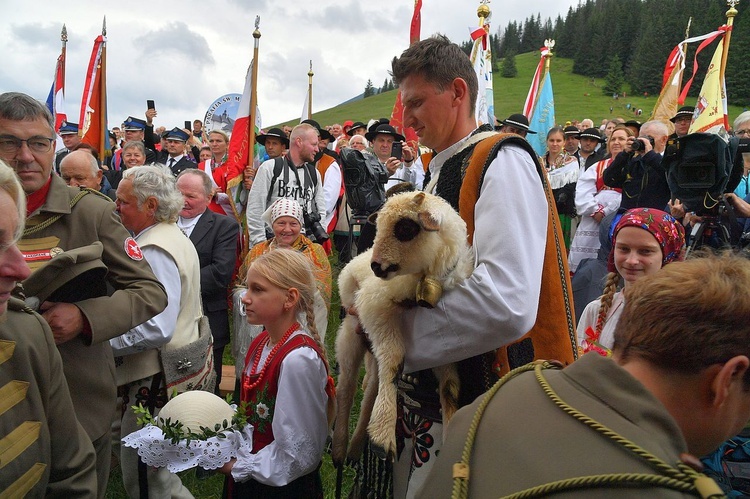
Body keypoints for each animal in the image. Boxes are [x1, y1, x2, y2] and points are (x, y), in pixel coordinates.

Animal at [334, 189, 472, 462]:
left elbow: (450, 385)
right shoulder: (374, 309)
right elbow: (395, 359)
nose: (376, 266)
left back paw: (356, 445)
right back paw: (340, 449)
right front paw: (382, 435)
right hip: (351, 330)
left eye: (406, 228)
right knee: (346, 384)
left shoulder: (442, 334)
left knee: (370, 387)